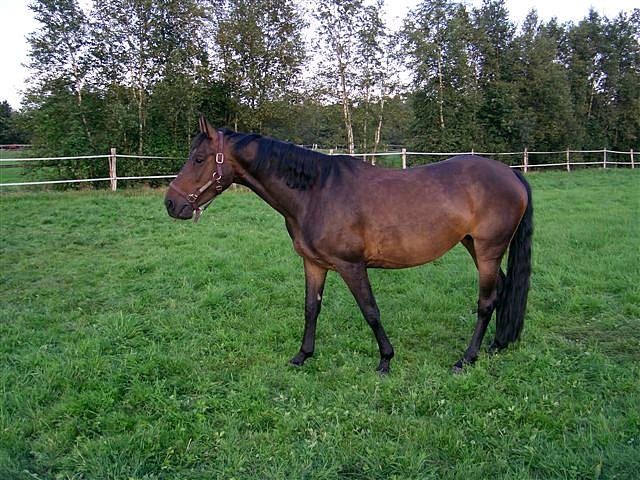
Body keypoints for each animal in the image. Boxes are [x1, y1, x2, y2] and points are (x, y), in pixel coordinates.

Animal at [165, 115, 533, 374]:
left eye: (199, 159)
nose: (171, 203)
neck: (316, 192)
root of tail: (511, 173)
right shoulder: (314, 263)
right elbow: (311, 308)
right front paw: (302, 355)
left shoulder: (351, 265)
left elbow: (370, 310)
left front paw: (385, 360)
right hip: (474, 246)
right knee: (501, 289)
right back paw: (497, 345)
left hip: (487, 250)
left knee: (486, 301)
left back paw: (466, 358)